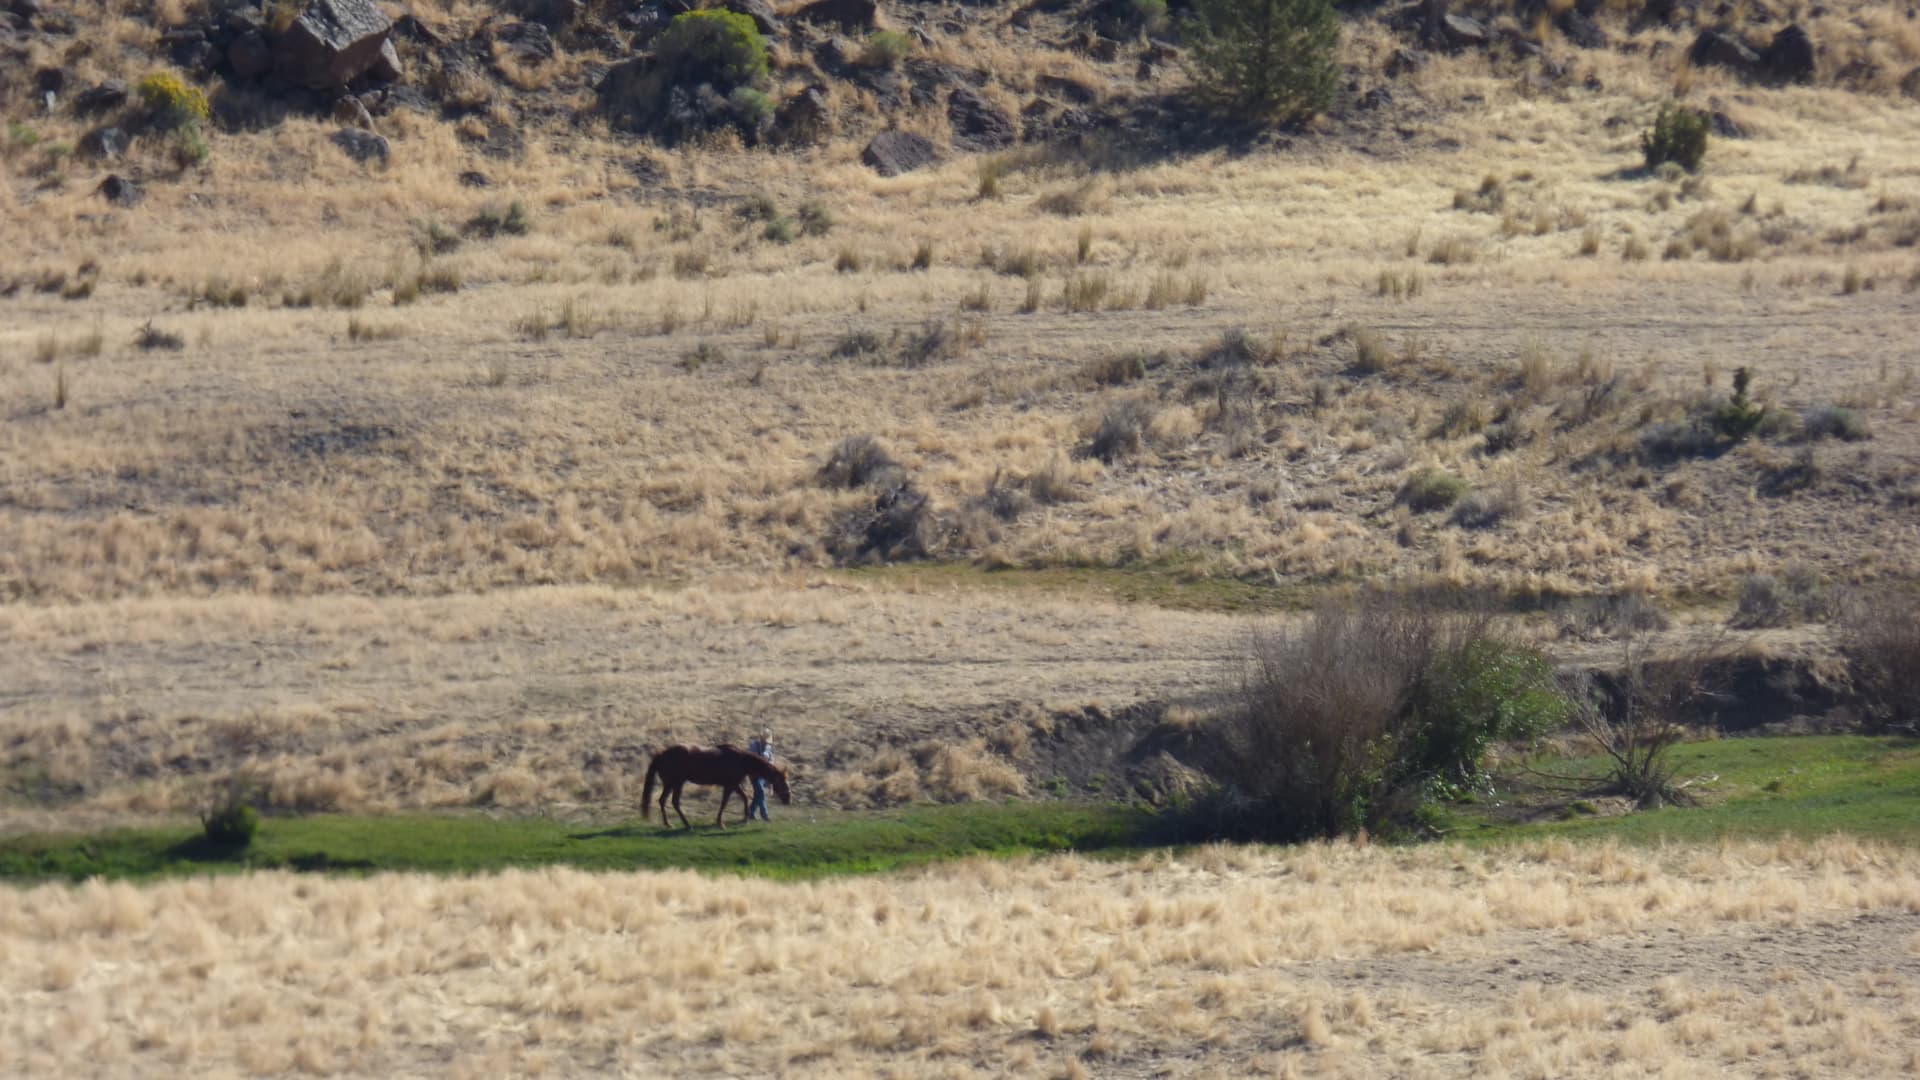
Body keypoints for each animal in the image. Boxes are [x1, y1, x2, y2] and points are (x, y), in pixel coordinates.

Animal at [641, 744, 790, 829]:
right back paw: (686, 824)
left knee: (663, 801)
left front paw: (744, 819)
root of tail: (661, 754)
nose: (788, 800)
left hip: (671, 784)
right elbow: (725, 803)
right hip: (676, 783)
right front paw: (721, 823)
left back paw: (669, 823)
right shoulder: (730, 785)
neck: (741, 759)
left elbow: (744, 798)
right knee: (674, 802)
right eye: (783, 782)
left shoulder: (734, 785)